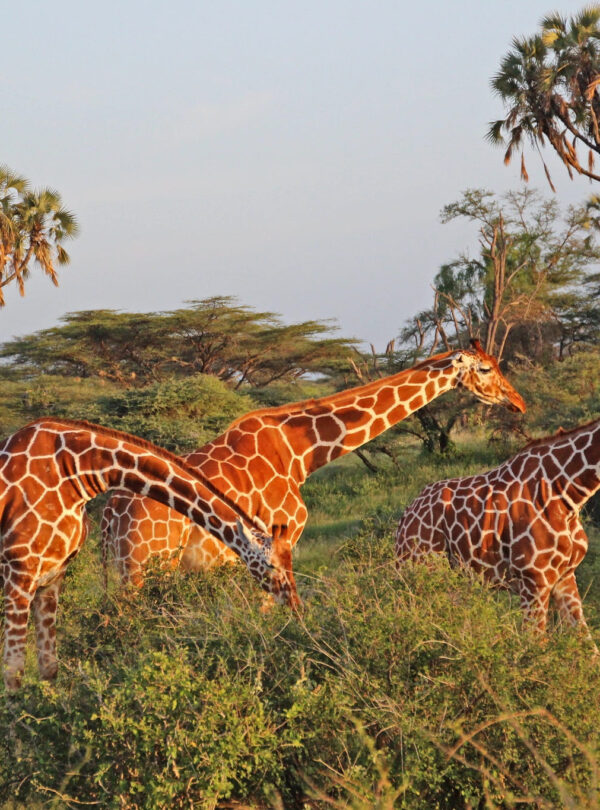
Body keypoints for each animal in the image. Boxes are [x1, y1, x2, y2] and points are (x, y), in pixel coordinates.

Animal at [0, 416, 298, 688]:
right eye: (271, 565)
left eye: (290, 560)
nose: (296, 606)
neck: (78, 471)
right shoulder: (18, 573)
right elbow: (13, 674)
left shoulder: (52, 577)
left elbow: (49, 670)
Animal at [102, 340, 524, 580]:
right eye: (485, 368)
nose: (518, 402)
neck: (301, 455)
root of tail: (111, 512)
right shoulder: (281, 536)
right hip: (148, 564)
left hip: (119, 569)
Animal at [396, 416, 600, 636]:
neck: (567, 496)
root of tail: (406, 515)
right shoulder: (534, 579)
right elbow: (535, 640)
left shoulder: (565, 576)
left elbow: (585, 639)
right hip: (418, 565)